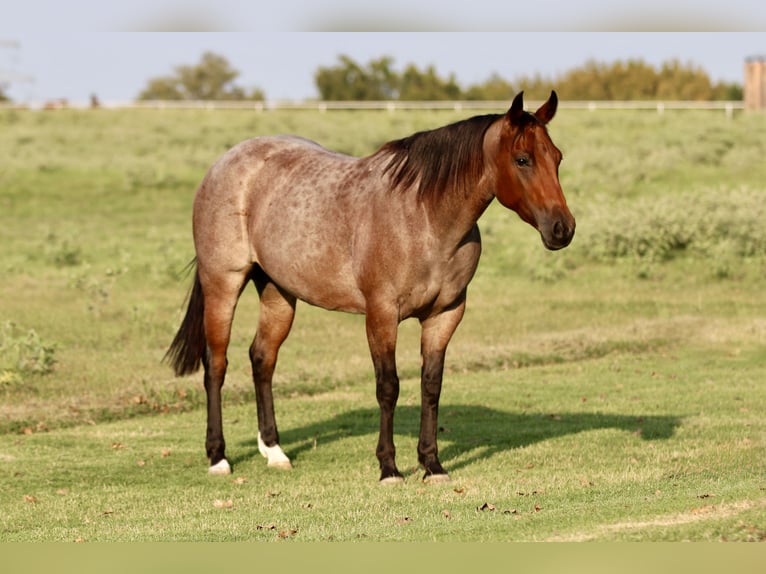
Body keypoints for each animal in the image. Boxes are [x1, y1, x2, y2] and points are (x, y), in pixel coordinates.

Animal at [165, 91, 575, 484]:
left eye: (557, 157)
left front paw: (432, 464)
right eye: (522, 159)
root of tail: (225, 162)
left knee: (262, 358)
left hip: (277, 292)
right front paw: (389, 468)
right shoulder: (381, 314)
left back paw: (274, 451)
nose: (562, 229)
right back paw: (218, 457)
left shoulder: (445, 315)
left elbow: (431, 385)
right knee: (216, 365)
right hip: (223, 283)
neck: (425, 219)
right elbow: (388, 386)